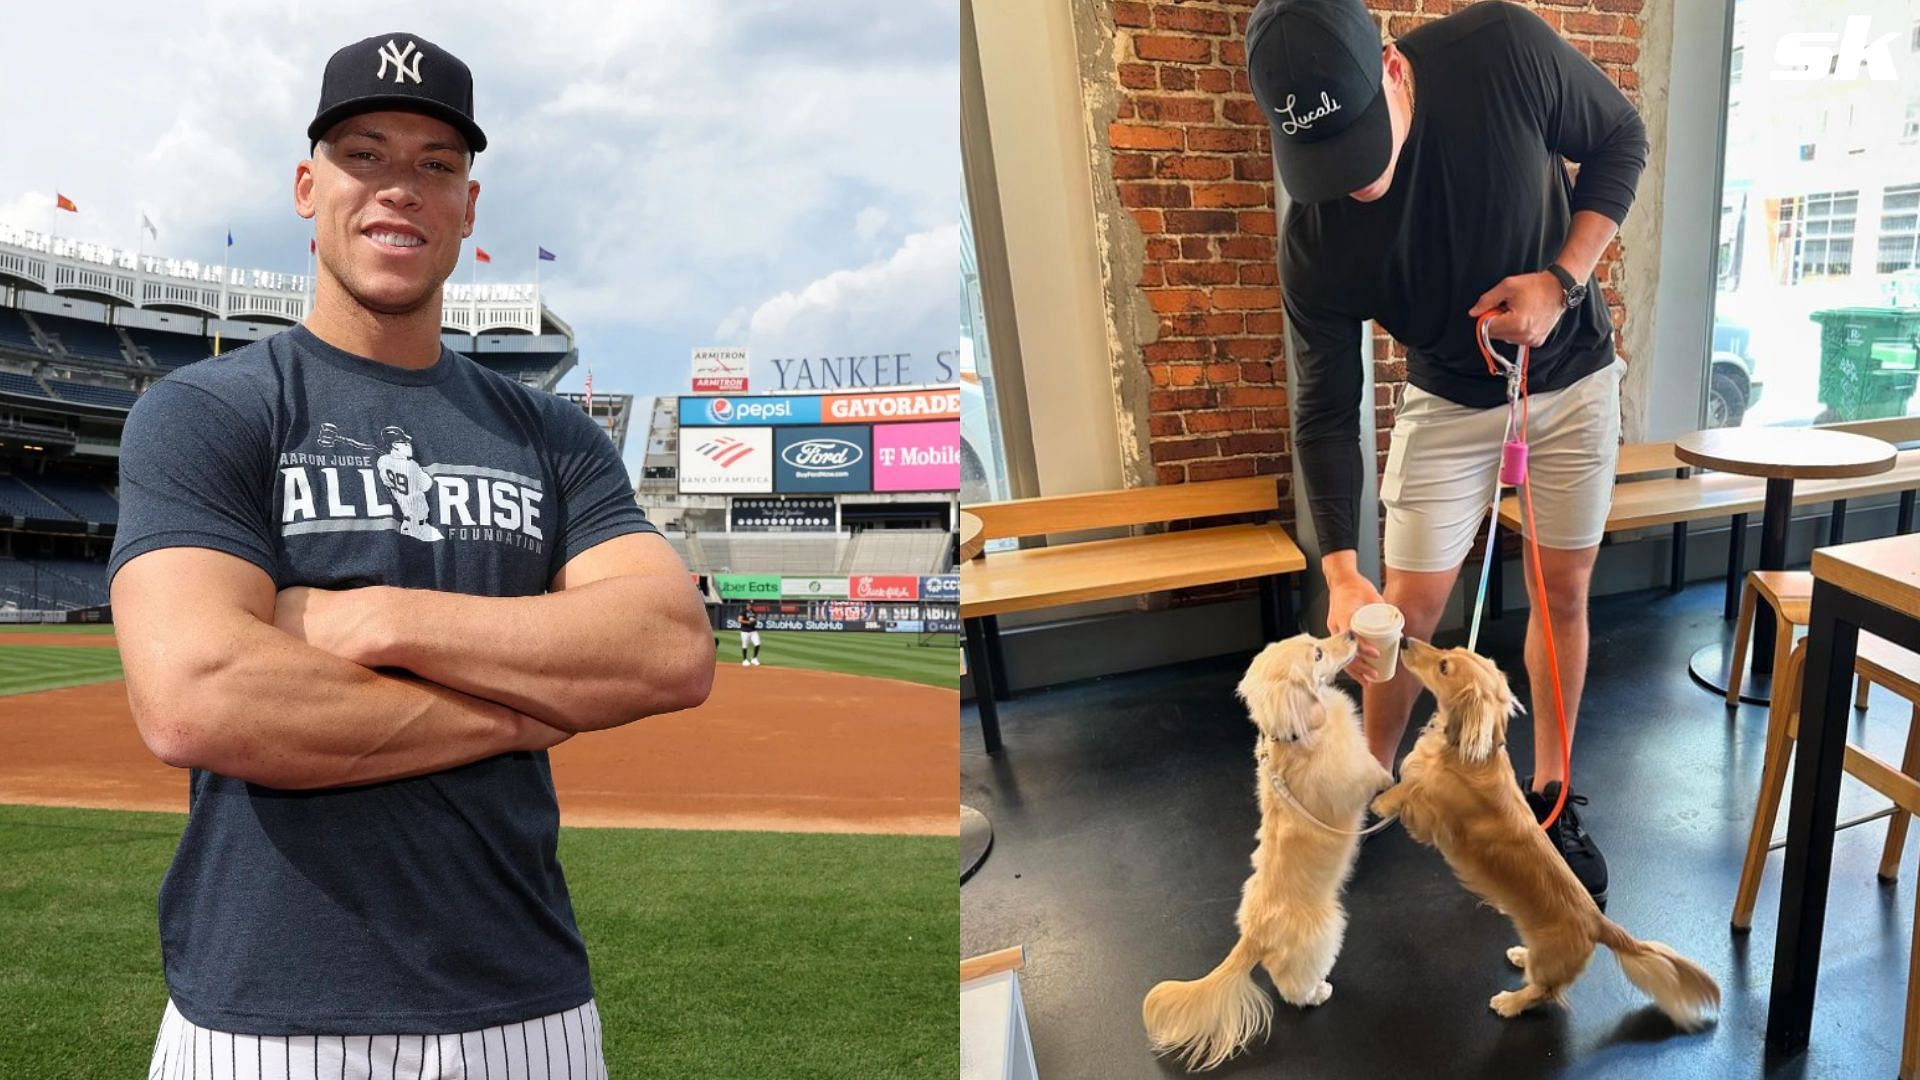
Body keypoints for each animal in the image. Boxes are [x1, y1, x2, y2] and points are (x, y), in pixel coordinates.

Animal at [1136, 630, 1397, 1068]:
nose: (1350, 633)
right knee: (1293, 988)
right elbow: (1376, 774)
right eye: (1318, 653)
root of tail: (1254, 934)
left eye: (1314, 637)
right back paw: (1318, 992)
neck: (1299, 738)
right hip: (1326, 932)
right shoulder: (1355, 777)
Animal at [1374, 638, 1720, 1022]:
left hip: (1548, 962)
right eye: (1450, 651)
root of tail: (1599, 924)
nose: (1405, 640)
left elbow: (1410, 791)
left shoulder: (1433, 812)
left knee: (1544, 991)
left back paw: (1510, 1002)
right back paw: (1519, 955)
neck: (1471, 758)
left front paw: (1382, 802)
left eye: (1444, 667)